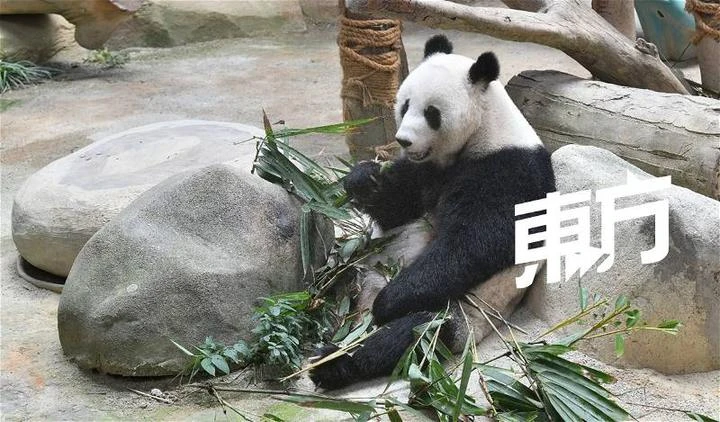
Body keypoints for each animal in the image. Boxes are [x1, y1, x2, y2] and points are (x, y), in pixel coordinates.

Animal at [309, 35, 556, 390]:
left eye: (431, 113)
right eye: (405, 105)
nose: (403, 140)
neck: (485, 127)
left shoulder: (510, 170)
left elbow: (476, 241)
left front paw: (391, 301)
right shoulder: (424, 171)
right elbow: (398, 205)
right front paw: (364, 179)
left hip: (464, 313)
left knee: (413, 335)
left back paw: (336, 359)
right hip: (357, 266)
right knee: (333, 281)